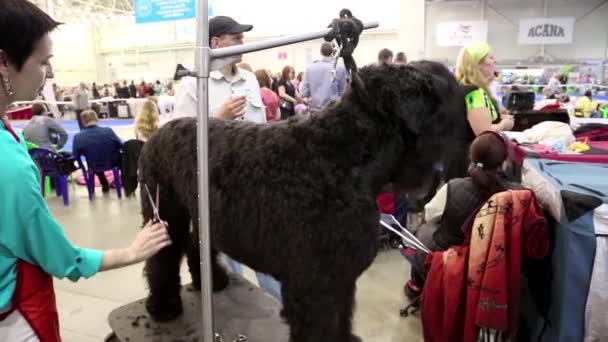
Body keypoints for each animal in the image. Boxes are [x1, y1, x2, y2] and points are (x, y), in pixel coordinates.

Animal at [138, 62, 460, 342]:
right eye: (442, 90)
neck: (343, 156)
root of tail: (158, 133)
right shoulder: (314, 285)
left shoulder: (339, 279)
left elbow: (340, 317)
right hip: (164, 214)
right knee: (162, 258)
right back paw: (164, 306)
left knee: (197, 247)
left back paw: (212, 281)